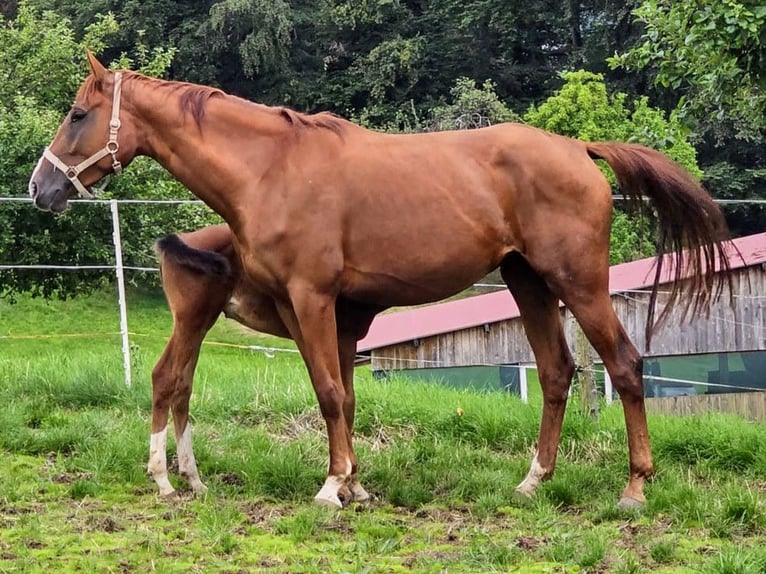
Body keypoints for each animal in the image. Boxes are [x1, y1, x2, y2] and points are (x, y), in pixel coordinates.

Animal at [27, 54, 732, 510]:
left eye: (78, 113)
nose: (41, 187)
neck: (269, 168)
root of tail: (578, 149)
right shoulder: (320, 312)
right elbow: (343, 395)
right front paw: (353, 484)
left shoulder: (312, 299)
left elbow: (329, 394)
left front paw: (331, 488)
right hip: (528, 283)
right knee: (558, 373)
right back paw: (534, 481)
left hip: (579, 284)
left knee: (626, 365)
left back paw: (635, 487)